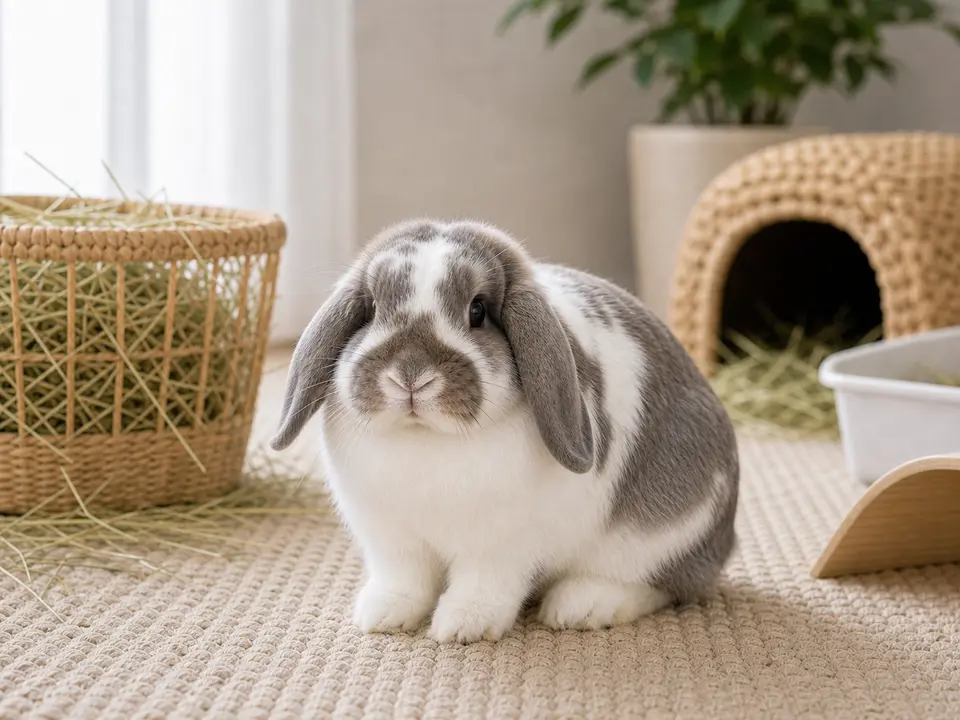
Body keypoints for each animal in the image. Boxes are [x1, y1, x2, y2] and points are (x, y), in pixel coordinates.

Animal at [270, 219, 739, 644]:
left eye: (477, 310)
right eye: (370, 308)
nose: (411, 375)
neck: (427, 440)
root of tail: (724, 539)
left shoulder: (501, 548)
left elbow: (484, 586)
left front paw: (463, 626)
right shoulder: (393, 542)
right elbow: (404, 581)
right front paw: (382, 616)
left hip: (661, 534)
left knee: (662, 584)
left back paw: (580, 607)